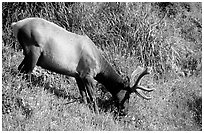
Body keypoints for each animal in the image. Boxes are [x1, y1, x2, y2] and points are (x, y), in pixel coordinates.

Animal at [11, 17, 154, 115]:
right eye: (127, 95)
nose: (125, 111)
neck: (99, 65)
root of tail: (16, 25)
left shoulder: (77, 74)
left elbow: (83, 95)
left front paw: (84, 107)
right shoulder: (87, 74)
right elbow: (92, 96)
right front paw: (96, 112)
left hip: (28, 53)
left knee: (19, 70)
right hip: (33, 49)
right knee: (26, 72)